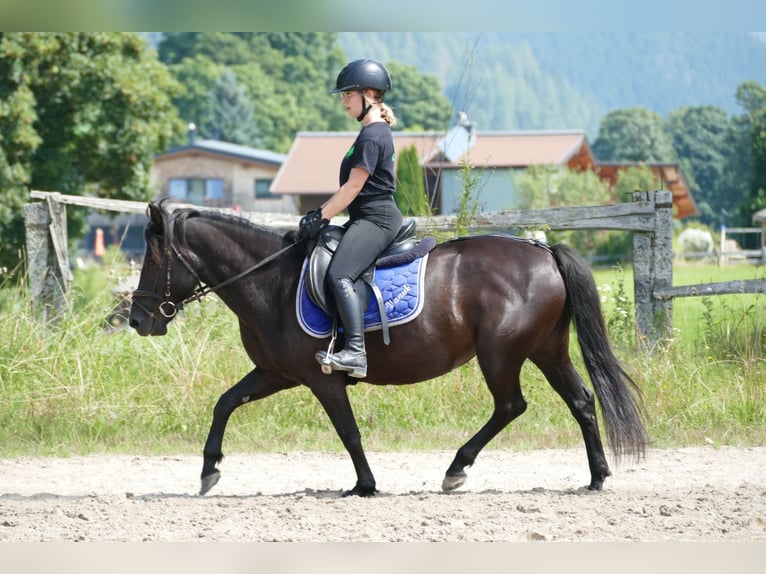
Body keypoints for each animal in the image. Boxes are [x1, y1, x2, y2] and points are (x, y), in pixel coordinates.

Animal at [132, 200, 648, 498]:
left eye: (153, 259)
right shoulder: (276, 373)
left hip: (501, 354)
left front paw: (365, 486)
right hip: (547, 350)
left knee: (510, 405)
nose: (138, 320)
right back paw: (597, 477)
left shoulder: (321, 378)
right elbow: (224, 403)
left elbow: (349, 433)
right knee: (580, 401)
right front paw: (208, 470)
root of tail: (545, 253)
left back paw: (456, 469)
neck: (270, 280)